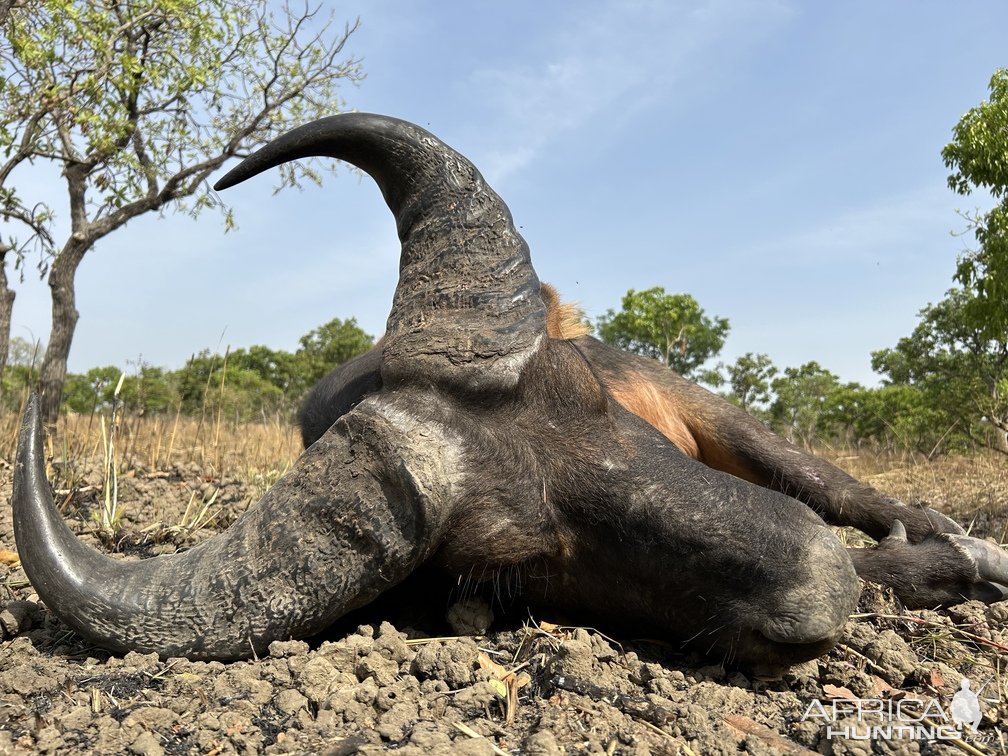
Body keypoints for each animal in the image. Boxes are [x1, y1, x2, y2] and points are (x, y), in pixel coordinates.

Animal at [9, 112, 1008, 673]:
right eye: (518, 557)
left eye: (589, 395)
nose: (817, 585)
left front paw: (954, 557)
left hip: (737, 424)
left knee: (847, 491)